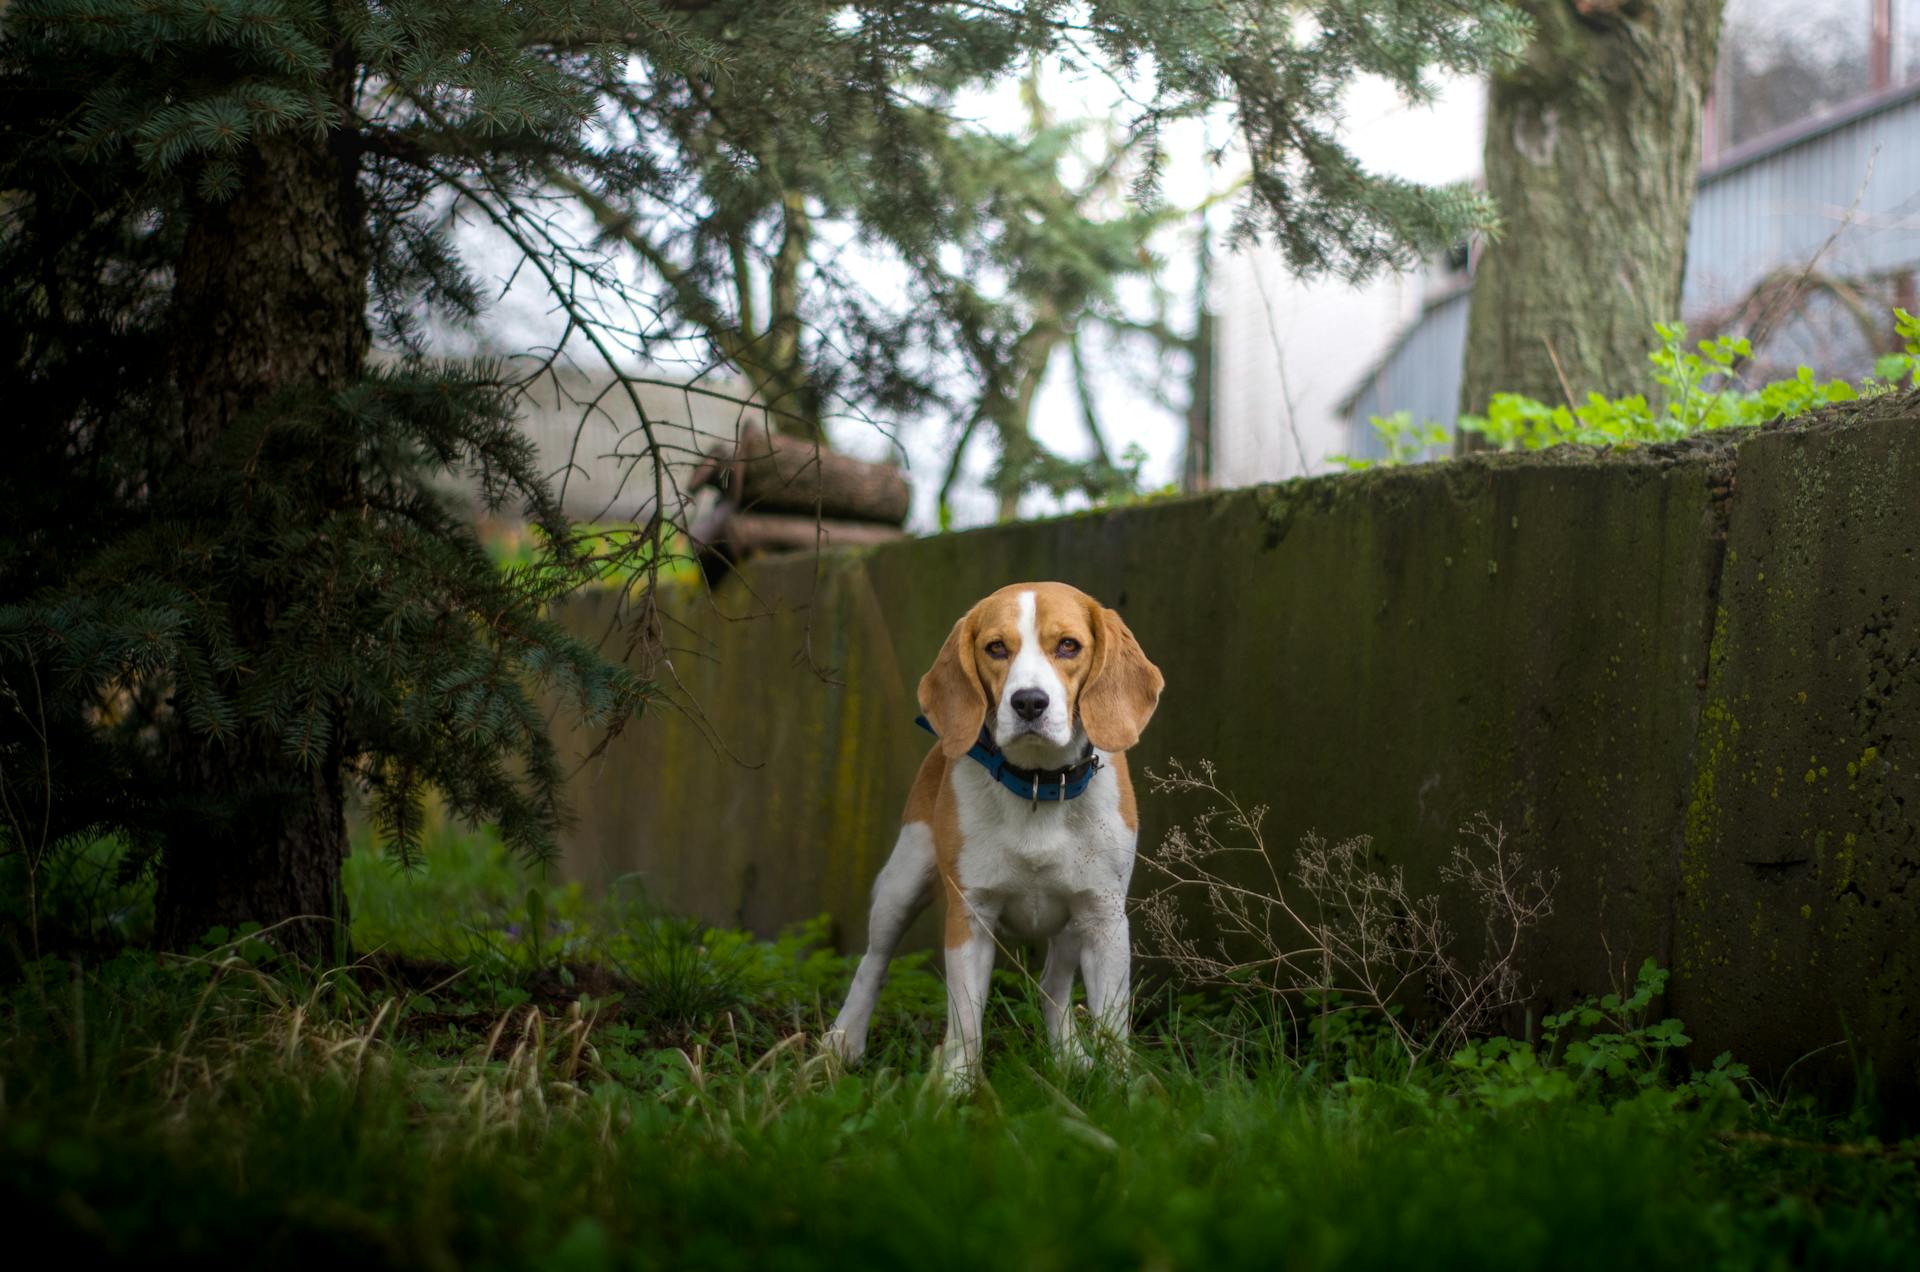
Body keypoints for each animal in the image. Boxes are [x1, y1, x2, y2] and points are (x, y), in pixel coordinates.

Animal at [821, 580, 1159, 1083]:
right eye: (996, 648)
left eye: (1068, 646)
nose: (1029, 702)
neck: (1038, 786)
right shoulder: (970, 915)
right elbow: (966, 1021)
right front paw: (957, 1085)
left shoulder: (1104, 920)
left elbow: (1113, 1025)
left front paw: (1119, 1087)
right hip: (903, 884)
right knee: (873, 963)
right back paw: (844, 1041)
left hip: (1072, 925)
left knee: (1053, 985)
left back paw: (1067, 1057)